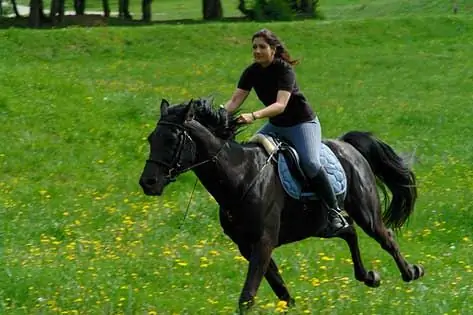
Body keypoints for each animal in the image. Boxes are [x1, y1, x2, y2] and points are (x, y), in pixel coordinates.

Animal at [137, 98, 424, 314]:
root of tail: (346, 145)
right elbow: (278, 286)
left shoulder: (264, 241)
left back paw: (411, 272)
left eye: (172, 139)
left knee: (386, 237)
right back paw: (369, 276)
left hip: (366, 211)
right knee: (349, 231)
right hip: (320, 225)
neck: (241, 176)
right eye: (152, 138)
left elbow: (248, 296)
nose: (148, 183)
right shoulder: (247, 246)